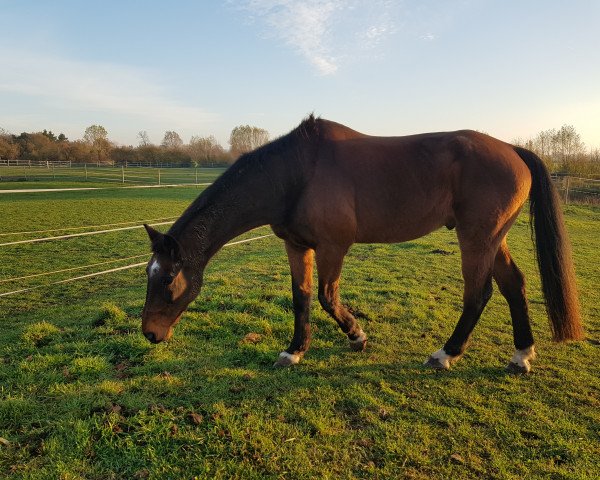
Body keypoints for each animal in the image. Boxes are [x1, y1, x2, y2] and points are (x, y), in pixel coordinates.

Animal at [141, 116, 580, 376]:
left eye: (167, 280)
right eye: (149, 274)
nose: (149, 333)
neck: (297, 173)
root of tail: (514, 150)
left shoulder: (334, 247)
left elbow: (326, 296)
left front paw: (356, 336)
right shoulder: (297, 246)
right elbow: (301, 298)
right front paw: (295, 351)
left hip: (477, 238)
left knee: (479, 293)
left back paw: (446, 354)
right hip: (493, 239)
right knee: (513, 285)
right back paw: (521, 355)